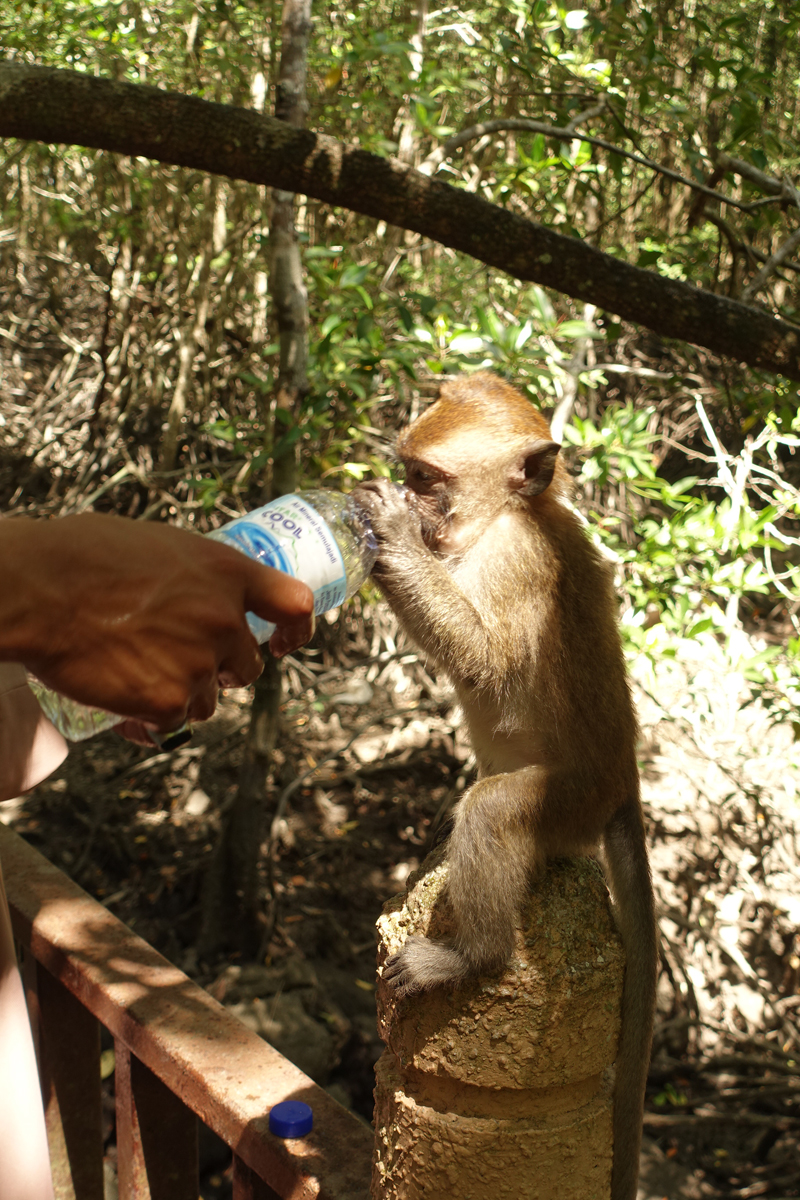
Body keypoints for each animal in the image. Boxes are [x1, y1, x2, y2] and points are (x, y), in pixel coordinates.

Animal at [357, 374, 657, 1200]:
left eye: (426, 480)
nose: (403, 493)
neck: (510, 516)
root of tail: (622, 781)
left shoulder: (518, 560)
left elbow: (486, 661)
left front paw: (389, 536)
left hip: (570, 802)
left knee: (495, 810)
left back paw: (471, 957)